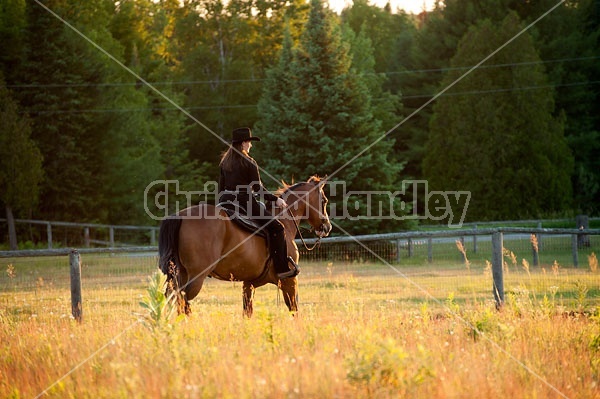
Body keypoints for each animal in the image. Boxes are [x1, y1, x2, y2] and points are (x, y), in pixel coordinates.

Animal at [157, 177, 330, 318]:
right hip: (196, 277)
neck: (284, 222)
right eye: (324, 200)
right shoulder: (289, 280)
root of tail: (180, 215)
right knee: (183, 301)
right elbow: (294, 309)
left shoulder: (248, 284)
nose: (327, 227)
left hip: (179, 275)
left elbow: (247, 312)